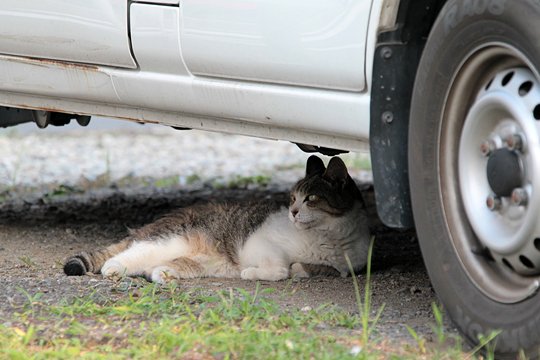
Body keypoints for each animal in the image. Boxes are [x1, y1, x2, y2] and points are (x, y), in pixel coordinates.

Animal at [61, 155, 370, 284]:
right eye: (293, 198)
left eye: (312, 198)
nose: (292, 212)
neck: (329, 237)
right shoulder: (262, 243)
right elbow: (279, 267)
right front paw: (254, 273)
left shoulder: (351, 266)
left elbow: (329, 270)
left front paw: (302, 269)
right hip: (166, 241)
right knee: (124, 255)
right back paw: (115, 269)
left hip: (197, 263)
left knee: (155, 267)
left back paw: (162, 275)